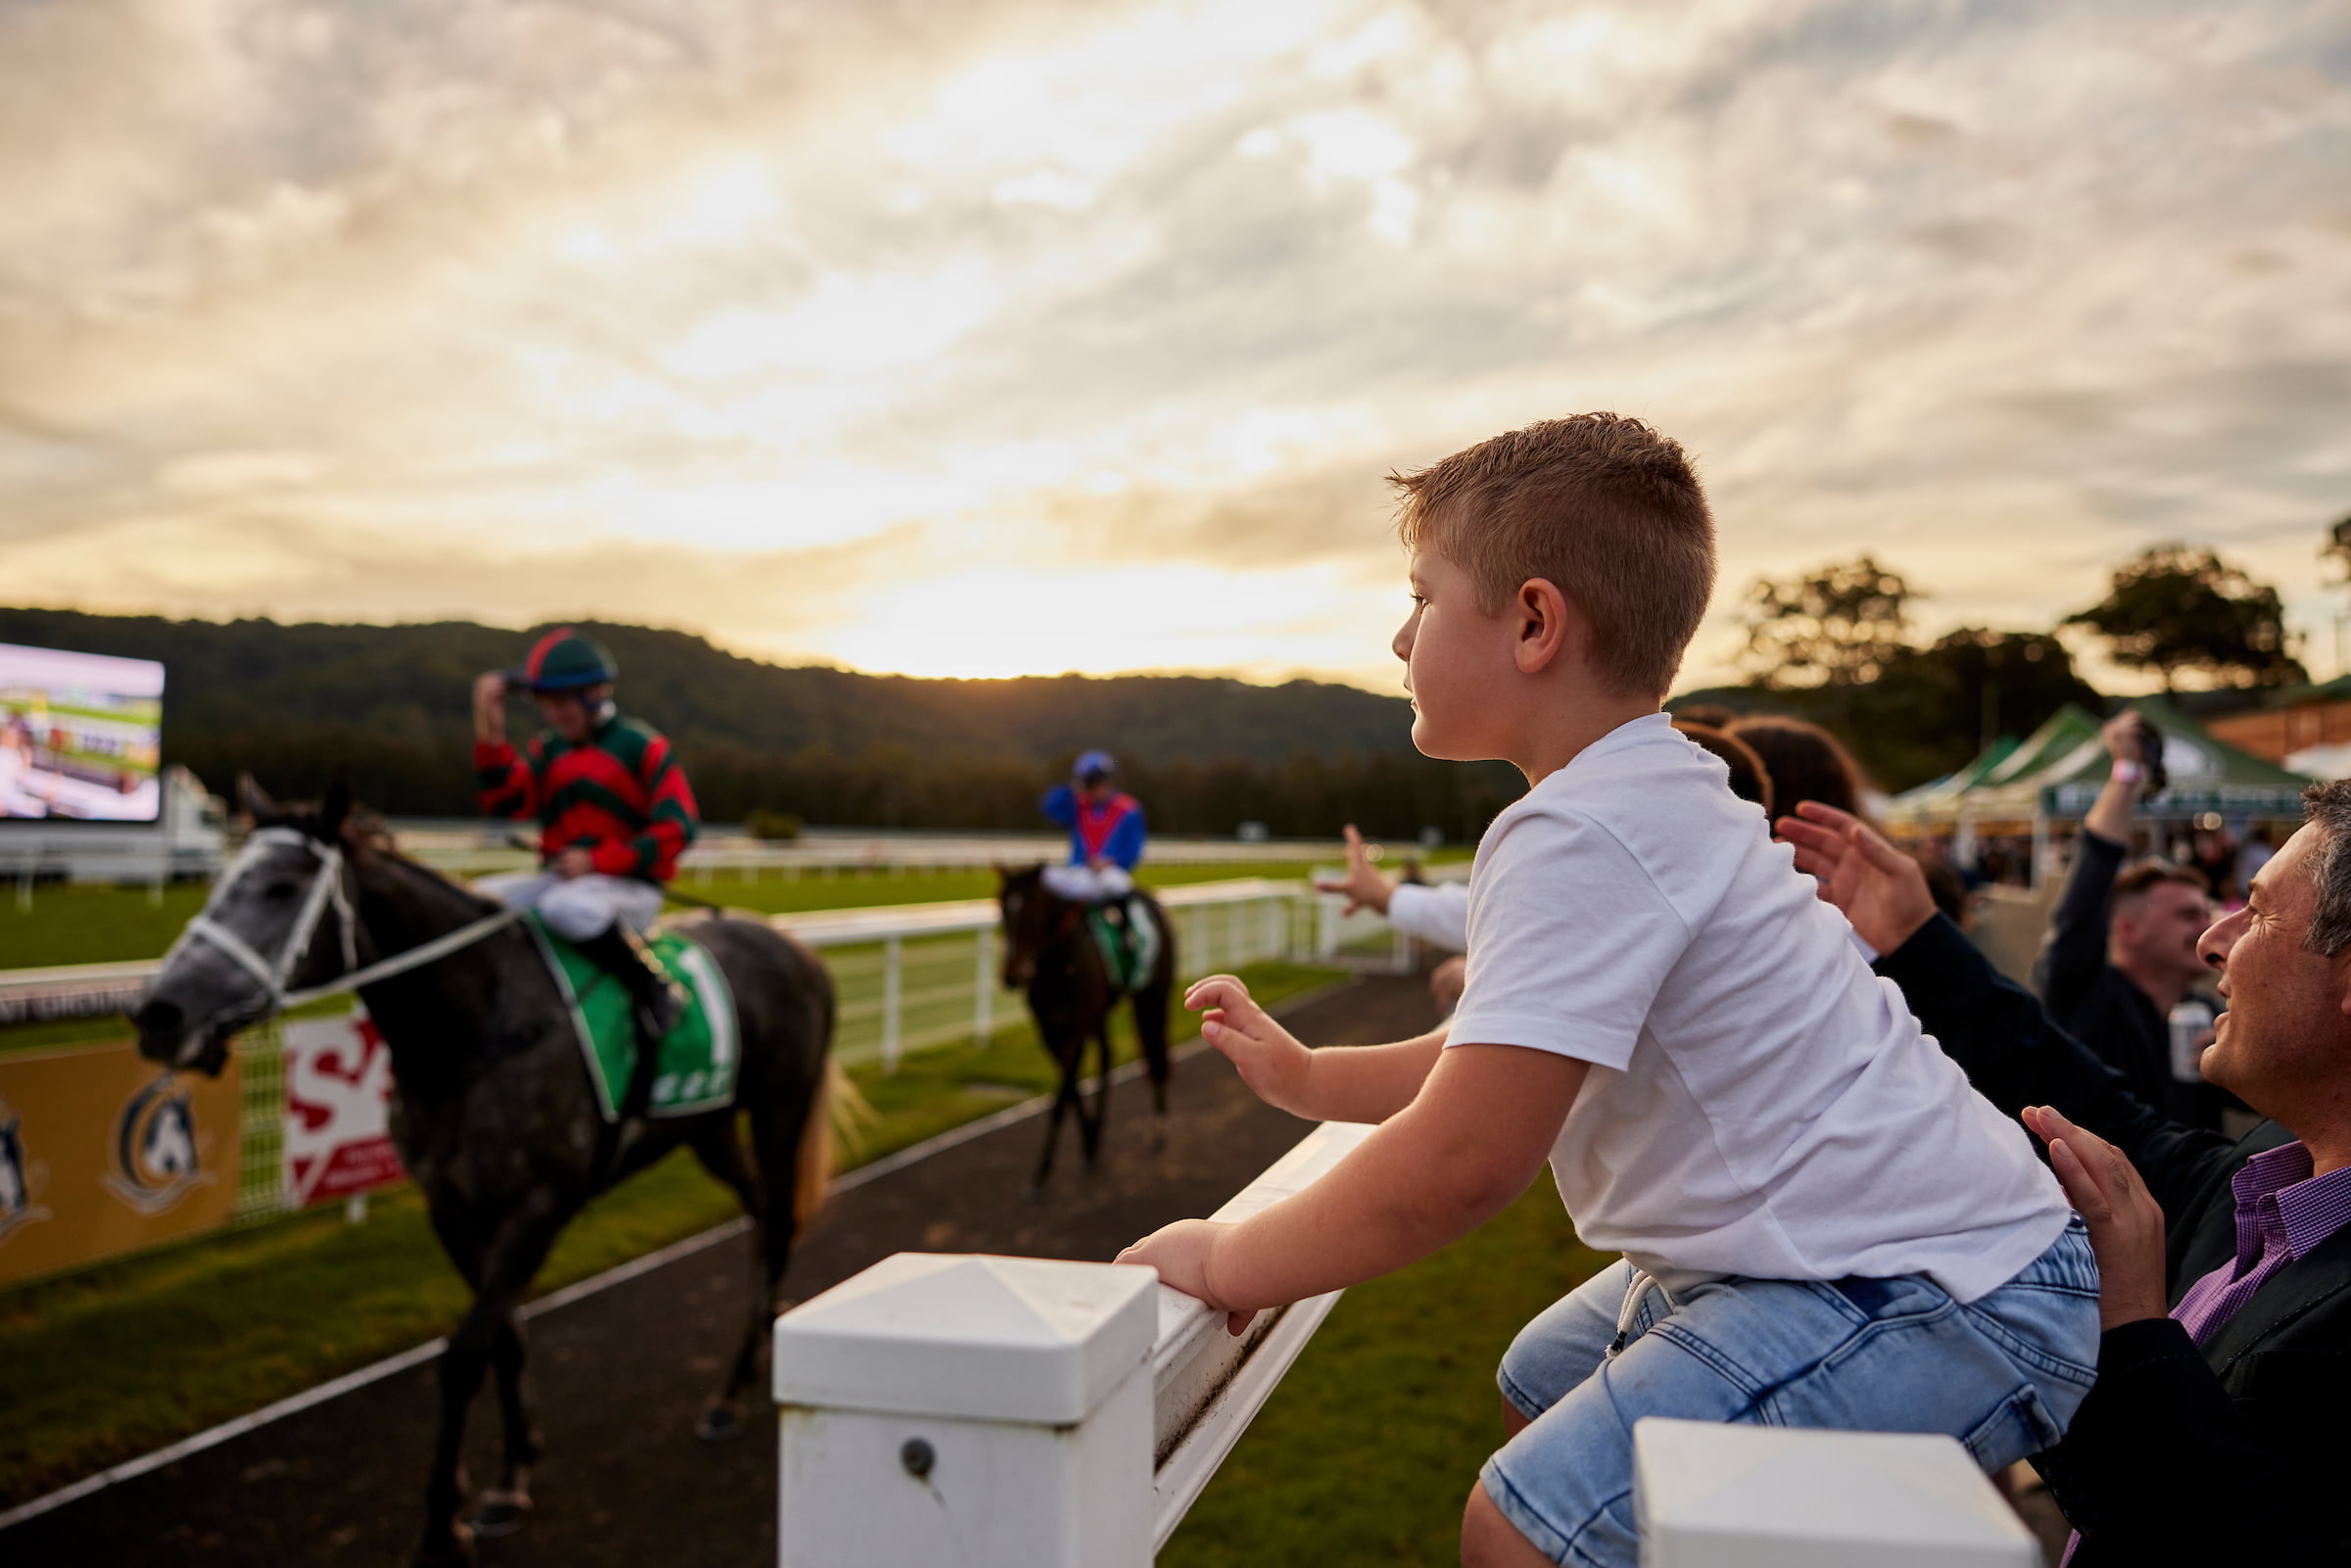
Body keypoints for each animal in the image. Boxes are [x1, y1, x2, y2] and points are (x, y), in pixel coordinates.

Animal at [991, 865, 1176, 1194]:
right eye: (1002, 909)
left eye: (1031, 913)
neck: (1057, 964)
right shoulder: (1049, 1030)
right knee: (1106, 1056)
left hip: (1152, 998)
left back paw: (1158, 1129)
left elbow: (1062, 1096)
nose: (1011, 976)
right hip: (1102, 1014)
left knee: (1155, 1056)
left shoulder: (1077, 1026)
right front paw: (1088, 1142)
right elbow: (1071, 1088)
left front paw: (1042, 1173)